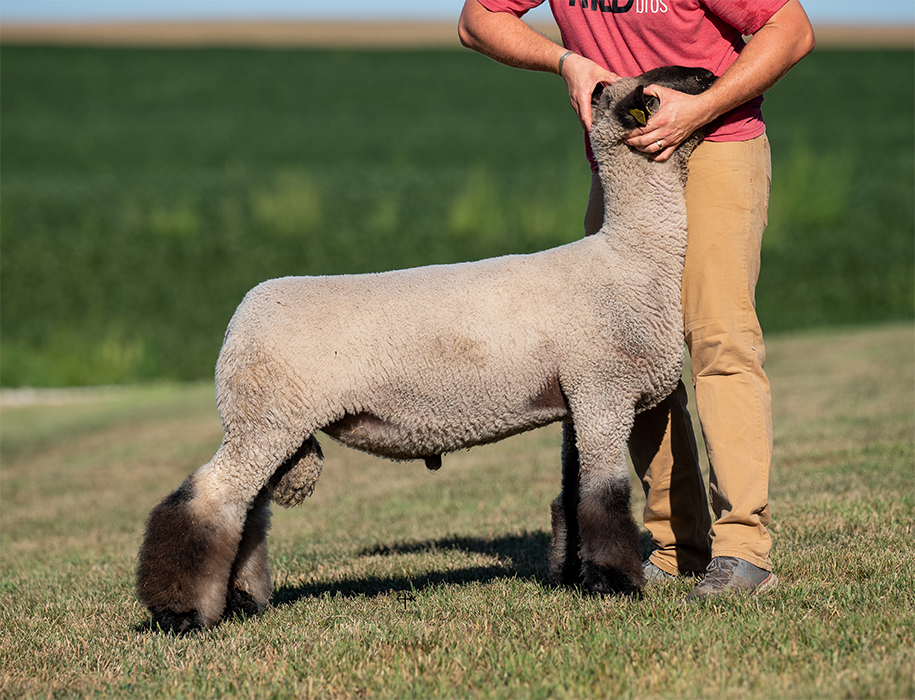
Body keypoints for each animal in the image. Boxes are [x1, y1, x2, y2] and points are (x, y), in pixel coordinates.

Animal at [138, 67, 716, 636]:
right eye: (666, 83)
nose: (712, 74)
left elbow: (572, 497)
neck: (632, 257)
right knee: (208, 501)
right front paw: (614, 585)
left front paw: (573, 577)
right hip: (266, 416)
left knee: (248, 512)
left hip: (271, 420)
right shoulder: (603, 391)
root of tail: (243, 315)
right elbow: (604, 497)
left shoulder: (578, 400)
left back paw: (240, 601)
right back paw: (180, 614)